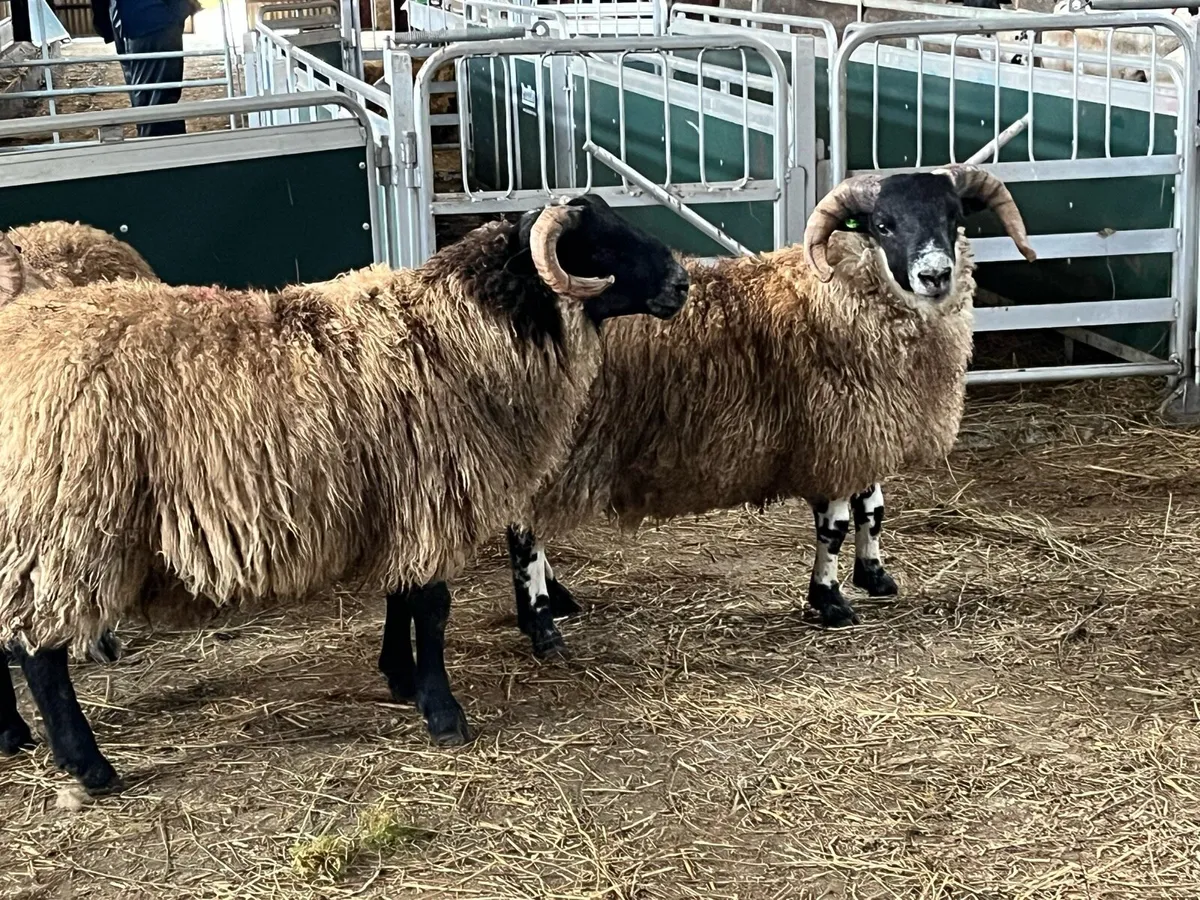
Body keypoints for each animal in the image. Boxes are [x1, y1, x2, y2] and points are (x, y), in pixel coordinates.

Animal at [0, 195, 690, 796]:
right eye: (596, 245)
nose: (681, 282)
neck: (455, 330)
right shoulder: (429, 495)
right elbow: (431, 608)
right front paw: (443, 713)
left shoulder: (403, 499)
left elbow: (401, 597)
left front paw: (400, 677)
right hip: (61, 528)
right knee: (39, 652)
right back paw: (87, 764)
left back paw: (14, 736)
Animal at [371, 166, 1037, 672]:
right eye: (882, 224)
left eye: (953, 219)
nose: (935, 274)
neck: (833, 296)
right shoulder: (828, 433)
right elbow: (835, 524)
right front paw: (829, 600)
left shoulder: (857, 431)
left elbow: (873, 506)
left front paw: (875, 576)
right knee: (524, 530)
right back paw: (543, 623)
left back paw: (556, 599)